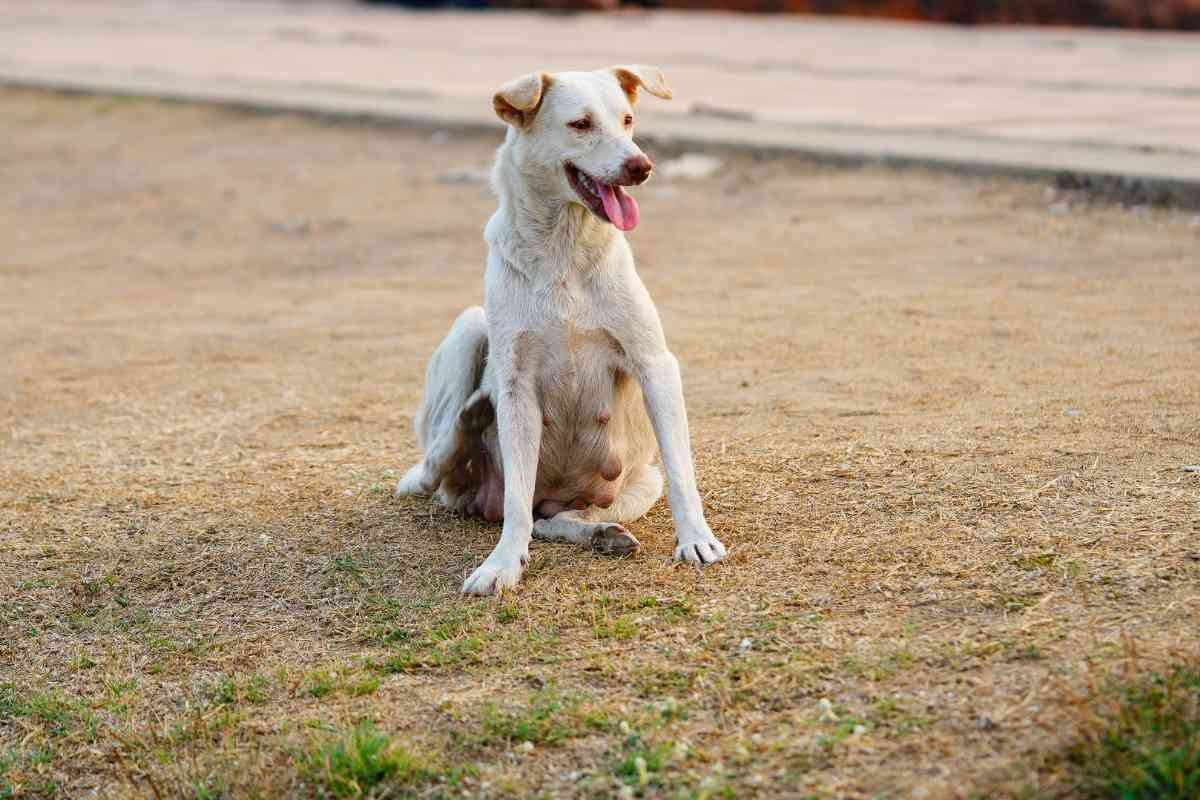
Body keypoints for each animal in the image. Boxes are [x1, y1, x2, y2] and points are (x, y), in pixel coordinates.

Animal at [398, 67, 724, 594]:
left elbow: (681, 471)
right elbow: (515, 507)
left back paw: (602, 533)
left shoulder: (655, 364)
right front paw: (501, 566)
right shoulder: (515, 385)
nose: (641, 167)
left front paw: (696, 539)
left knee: (552, 520)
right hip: (469, 328)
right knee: (444, 467)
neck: (565, 251)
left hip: (635, 483)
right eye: (581, 124)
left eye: (628, 120)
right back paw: (465, 424)